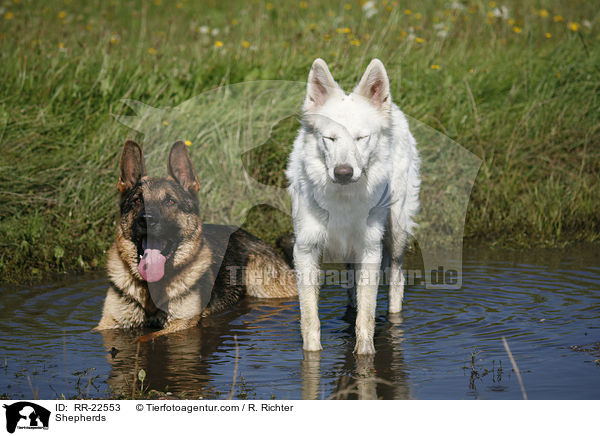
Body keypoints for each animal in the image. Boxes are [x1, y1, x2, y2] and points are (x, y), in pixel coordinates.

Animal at [288, 58, 420, 354]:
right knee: (352, 293)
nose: (343, 172)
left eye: (361, 138)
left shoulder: (370, 250)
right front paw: (311, 355)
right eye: (330, 139)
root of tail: (394, 108)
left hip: (396, 234)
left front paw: (365, 354)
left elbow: (367, 316)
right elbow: (310, 318)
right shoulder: (305, 250)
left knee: (396, 282)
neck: (342, 198)